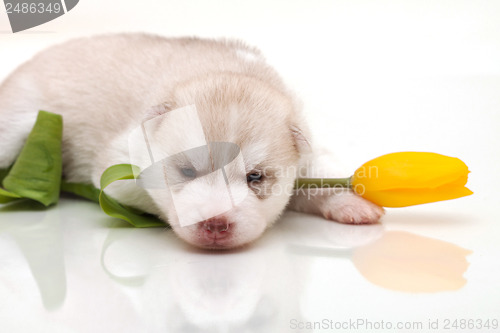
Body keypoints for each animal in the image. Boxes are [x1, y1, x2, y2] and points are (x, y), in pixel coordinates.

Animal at [0, 32, 384, 248]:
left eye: (255, 177)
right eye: (186, 172)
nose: (215, 224)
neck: (224, 72)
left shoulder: (307, 150)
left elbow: (316, 177)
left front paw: (350, 202)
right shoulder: (119, 167)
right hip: (19, 122)